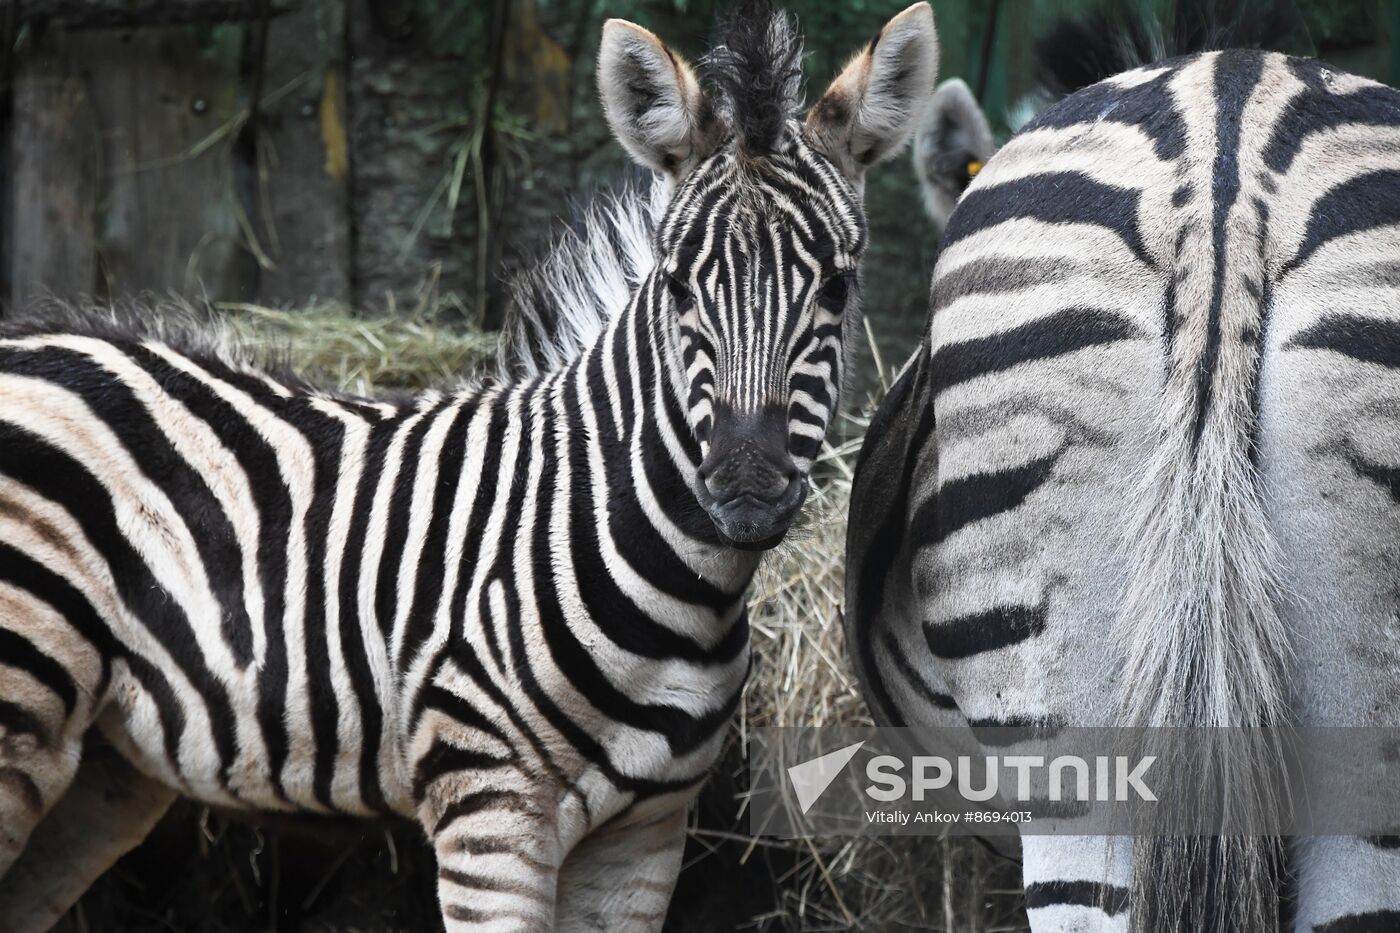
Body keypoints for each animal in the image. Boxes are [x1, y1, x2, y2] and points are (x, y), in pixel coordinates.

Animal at [0, 3, 940, 924]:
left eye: (837, 289)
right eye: (676, 286)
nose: (745, 491)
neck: (680, 593)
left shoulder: (645, 837)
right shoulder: (491, 810)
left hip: (104, 762)